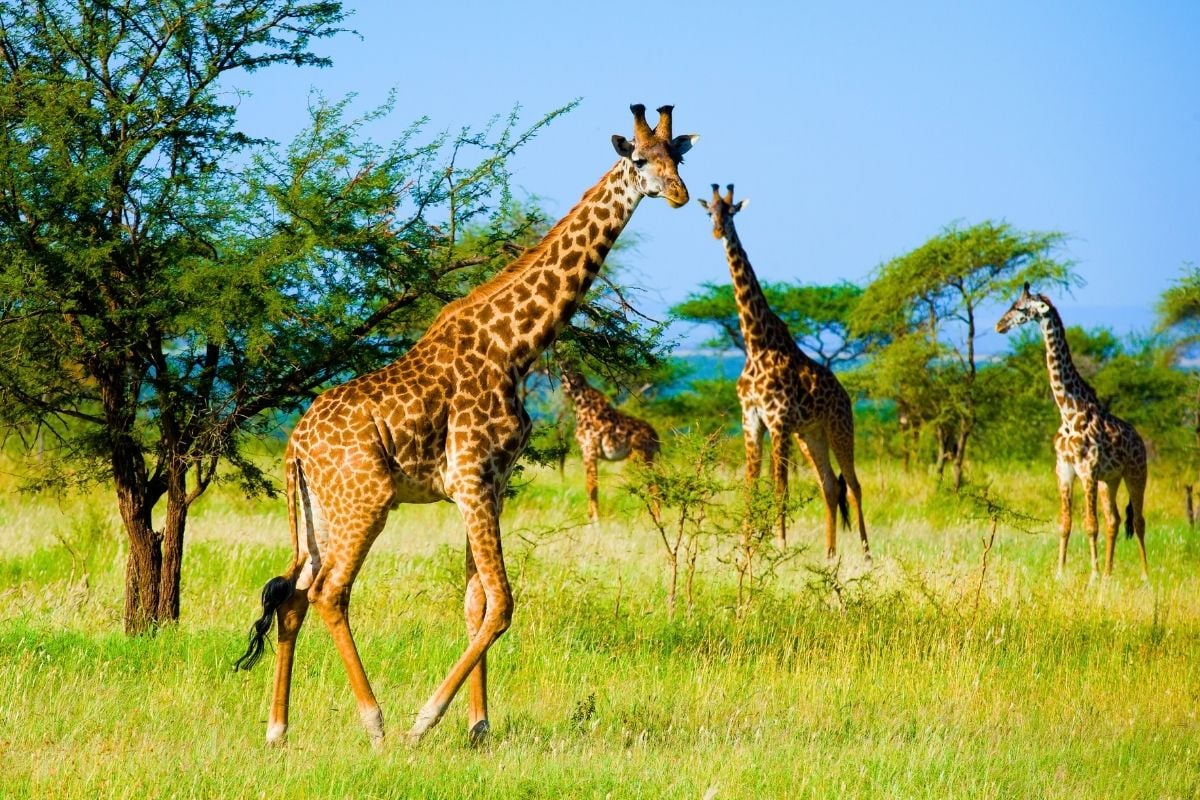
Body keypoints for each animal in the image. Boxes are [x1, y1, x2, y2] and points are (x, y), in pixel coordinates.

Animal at [559, 367, 662, 522]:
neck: (580, 401)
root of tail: (656, 437)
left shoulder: (588, 449)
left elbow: (591, 486)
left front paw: (595, 521)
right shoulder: (588, 452)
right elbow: (591, 484)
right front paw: (591, 518)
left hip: (641, 457)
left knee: (654, 485)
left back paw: (657, 519)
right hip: (647, 458)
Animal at [696, 184, 873, 561]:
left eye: (731, 212)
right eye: (709, 212)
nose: (718, 232)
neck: (756, 343)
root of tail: (846, 395)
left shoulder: (778, 421)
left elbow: (780, 487)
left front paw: (778, 543)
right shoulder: (752, 419)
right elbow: (751, 484)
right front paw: (746, 545)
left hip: (839, 428)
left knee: (852, 484)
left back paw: (866, 554)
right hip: (811, 435)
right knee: (828, 485)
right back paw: (829, 553)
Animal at [988, 284, 1147, 578]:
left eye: (1020, 308)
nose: (999, 325)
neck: (1069, 412)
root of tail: (1141, 441)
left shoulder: (1088, 471)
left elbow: (1090, 525)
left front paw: (1091, 576)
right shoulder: (1064, 470)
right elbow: (1065, 523)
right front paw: (1060, 573)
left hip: (1136, 473)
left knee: (1139, 520)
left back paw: (1144, 576)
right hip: (1110, 480)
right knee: (1114, 519)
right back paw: (1109, 574)